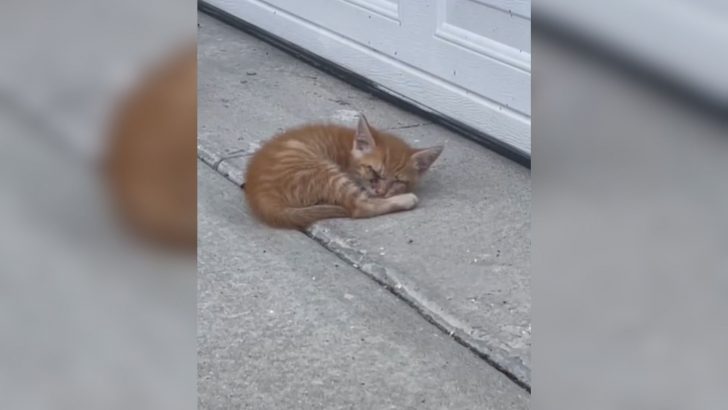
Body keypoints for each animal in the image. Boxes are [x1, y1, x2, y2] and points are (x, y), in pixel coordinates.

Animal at [245, 114, 444, 231]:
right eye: (373, 171)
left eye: (397, 181)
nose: (381, 192)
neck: (349, 150)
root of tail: (259, 195)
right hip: (324, 170)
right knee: (360, 207)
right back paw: (406, 199)